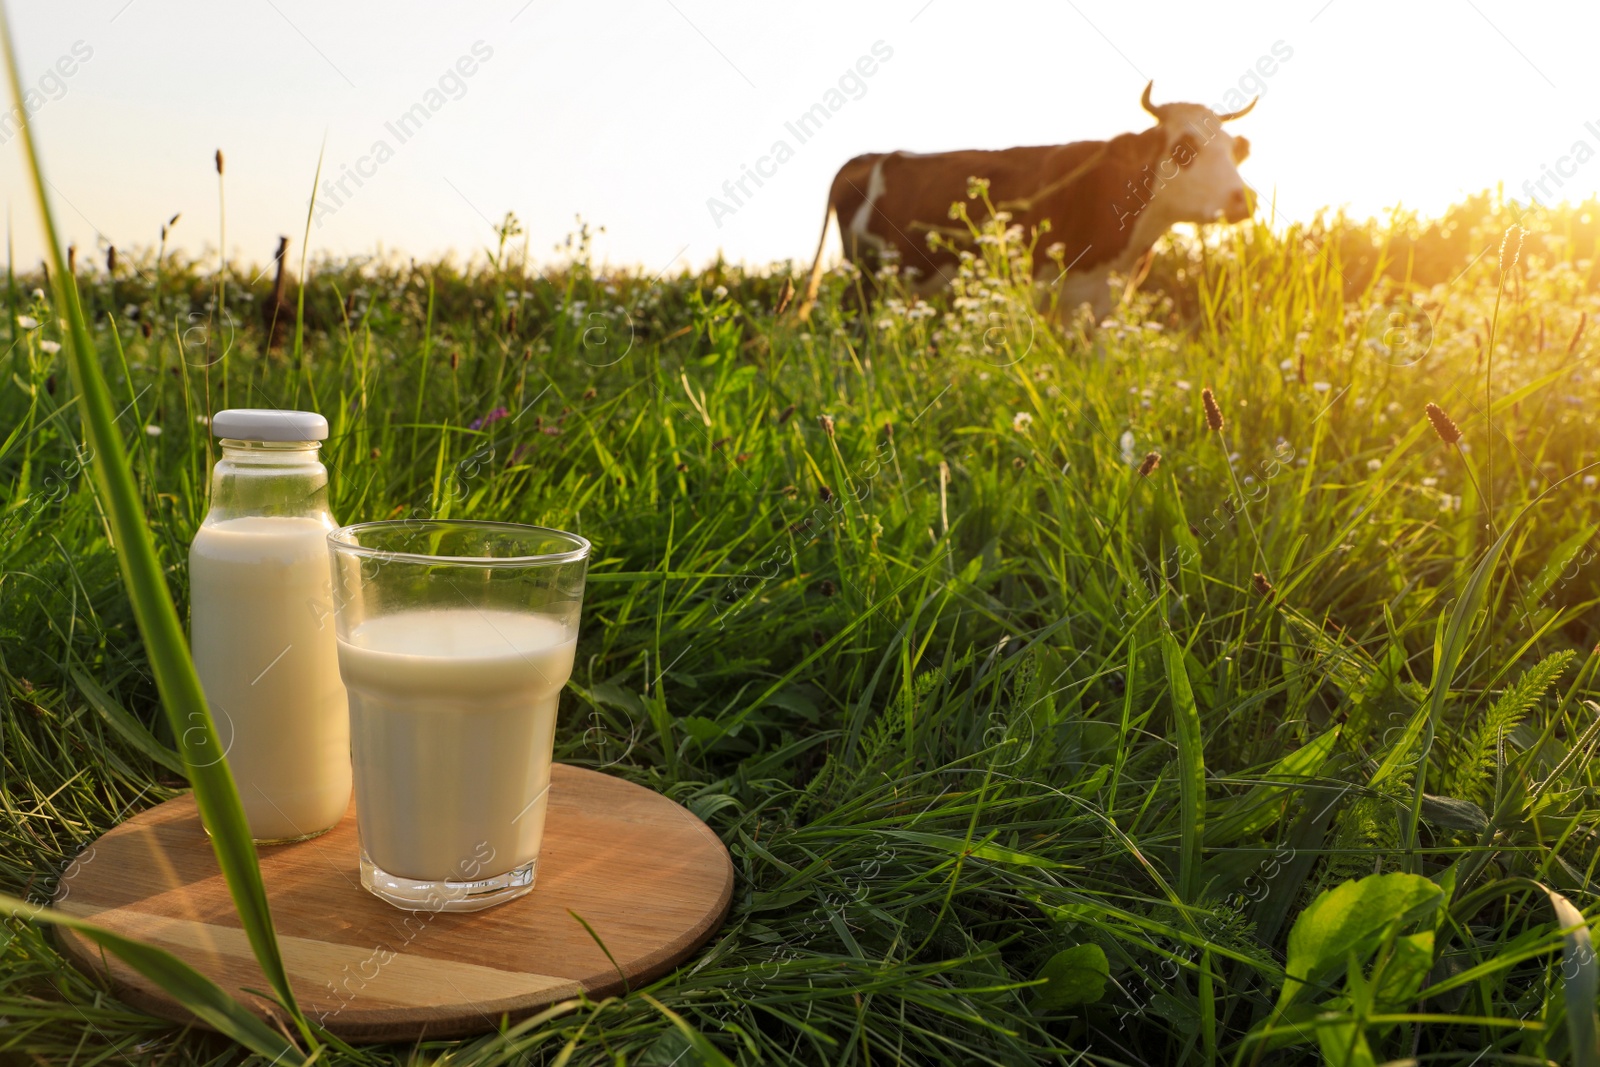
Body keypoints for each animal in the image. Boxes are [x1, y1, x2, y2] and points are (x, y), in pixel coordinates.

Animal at [793, 83, 1254, 321]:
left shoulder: (1103, 305)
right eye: (1184, 149)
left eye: (1234, 151)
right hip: (865, 277)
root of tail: (868, 156)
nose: (1244, 199)